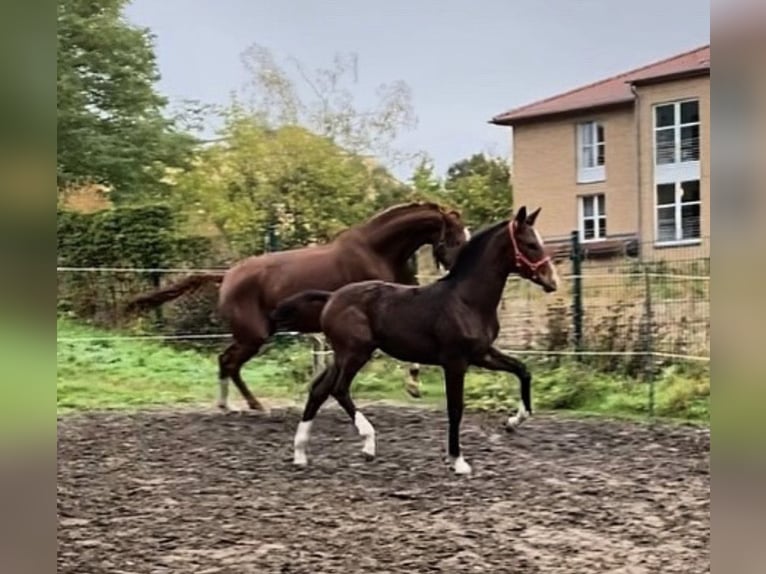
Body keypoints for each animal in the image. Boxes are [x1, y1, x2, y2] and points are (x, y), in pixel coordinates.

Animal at [125, 202, 469, 412]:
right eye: (454, 238)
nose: (460, 270)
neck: (378, 251)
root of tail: (228, 276)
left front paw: (414, 385)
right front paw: (411, 386)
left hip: (252, 335)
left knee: (226, 362)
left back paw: (233, 405)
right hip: (254, 336)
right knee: (229, 362)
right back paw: (250, 405)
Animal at [270, 206, 560, 475]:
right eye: (531, 244)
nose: (552, 281)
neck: (466, 300)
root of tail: (331, 297)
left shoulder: (482, 353)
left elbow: (522, 370)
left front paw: (513, 421)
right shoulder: (455, 361)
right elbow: (456, 408)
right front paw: (458, 461)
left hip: (343, 355)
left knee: (320, 389)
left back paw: (300, 454)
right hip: (355, 353)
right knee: (339, 389)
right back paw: (368, 443)